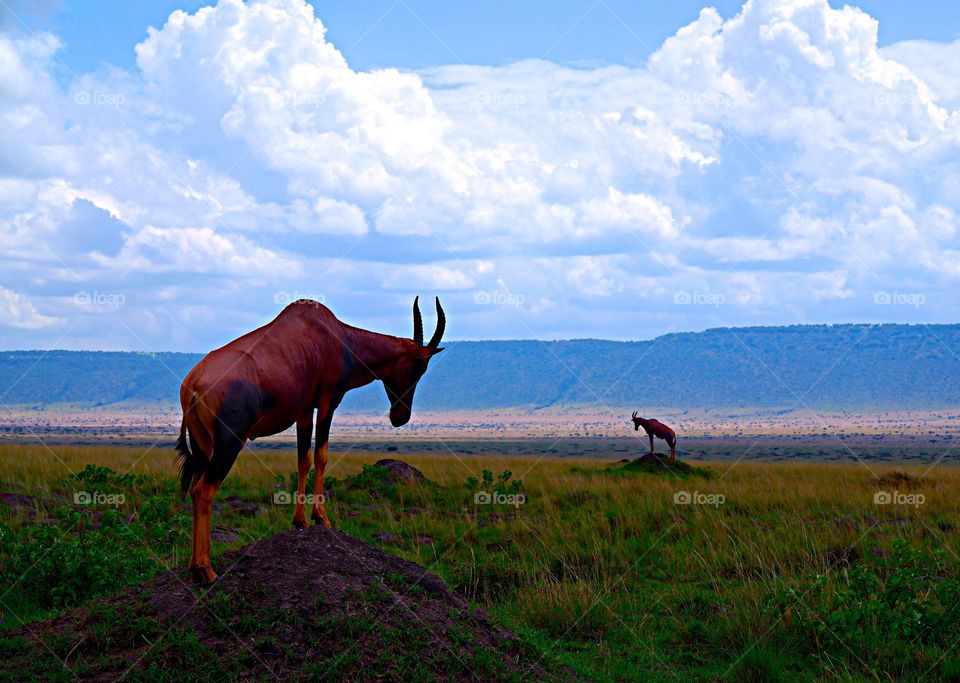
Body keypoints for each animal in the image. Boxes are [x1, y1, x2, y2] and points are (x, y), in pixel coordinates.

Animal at [177, 296, 446, 584]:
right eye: (418, 367)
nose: (400, 416)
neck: (333, 334)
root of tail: (193, 384)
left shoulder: (304, 411)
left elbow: (303, 460)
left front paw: (300, 521)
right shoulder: (328, 400)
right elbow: (321, 456)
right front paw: (321, 518)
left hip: (204, 446)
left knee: (194, 488)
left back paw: (193, 567)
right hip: (228, 444)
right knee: (203, 491)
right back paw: (207, 571)